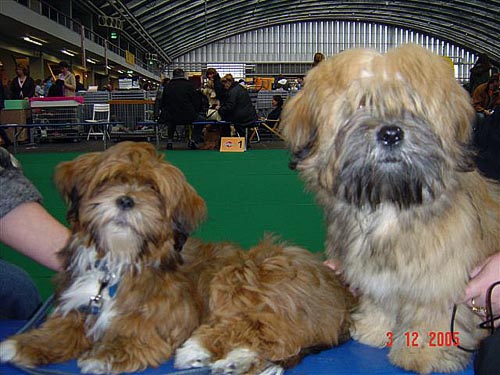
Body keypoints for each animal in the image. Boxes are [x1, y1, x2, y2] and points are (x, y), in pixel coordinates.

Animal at [0, 142, 354, 375]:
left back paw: (199, 350)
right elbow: (61, 328)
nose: (125, 200)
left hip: (246, 274)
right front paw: (22, 344)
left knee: (262, 327)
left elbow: (141, 329)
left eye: (153, 190)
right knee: (274, 340)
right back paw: (235, 361)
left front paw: (109, 353)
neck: (120, 259)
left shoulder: (169, 313)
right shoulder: (80, 303)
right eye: (110, 179)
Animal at [280, 43, 500, 374]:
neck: (389, 201)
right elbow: (379, 298)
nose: (391, 134)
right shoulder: (372, 273)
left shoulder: (440, 279)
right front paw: (372, 327)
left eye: (413, 105)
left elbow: (432, 314)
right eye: (362, 104)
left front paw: (424, 353)